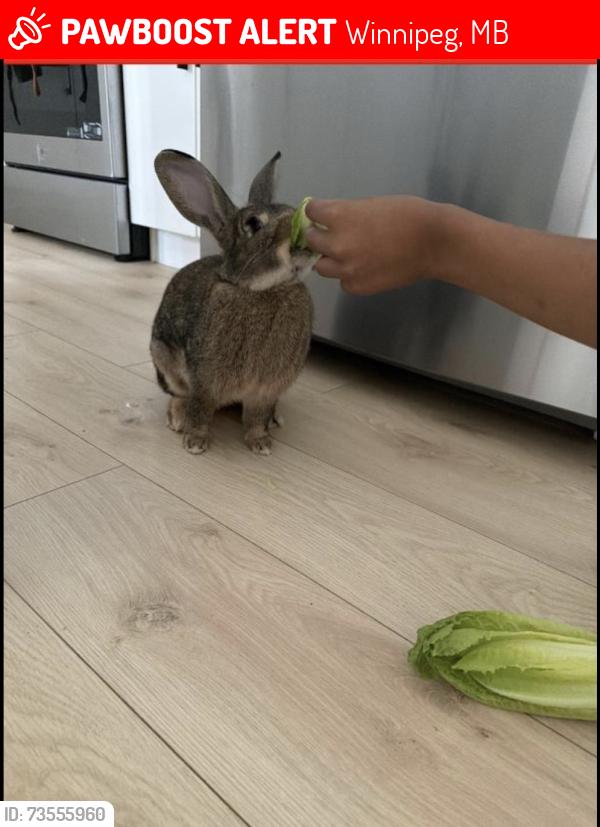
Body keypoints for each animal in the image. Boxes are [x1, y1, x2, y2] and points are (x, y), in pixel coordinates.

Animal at [150, 149, 315, 456]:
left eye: (292, 209)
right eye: (253, 224)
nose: (306, 235)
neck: (262, 288)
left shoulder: (264, 390)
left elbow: (256, 417)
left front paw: (260, 443)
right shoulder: (205, 382)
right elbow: (201, 410)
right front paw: (195, 442)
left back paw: (275, 418)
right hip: (163, 356)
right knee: (178, 394)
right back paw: (178, 418)